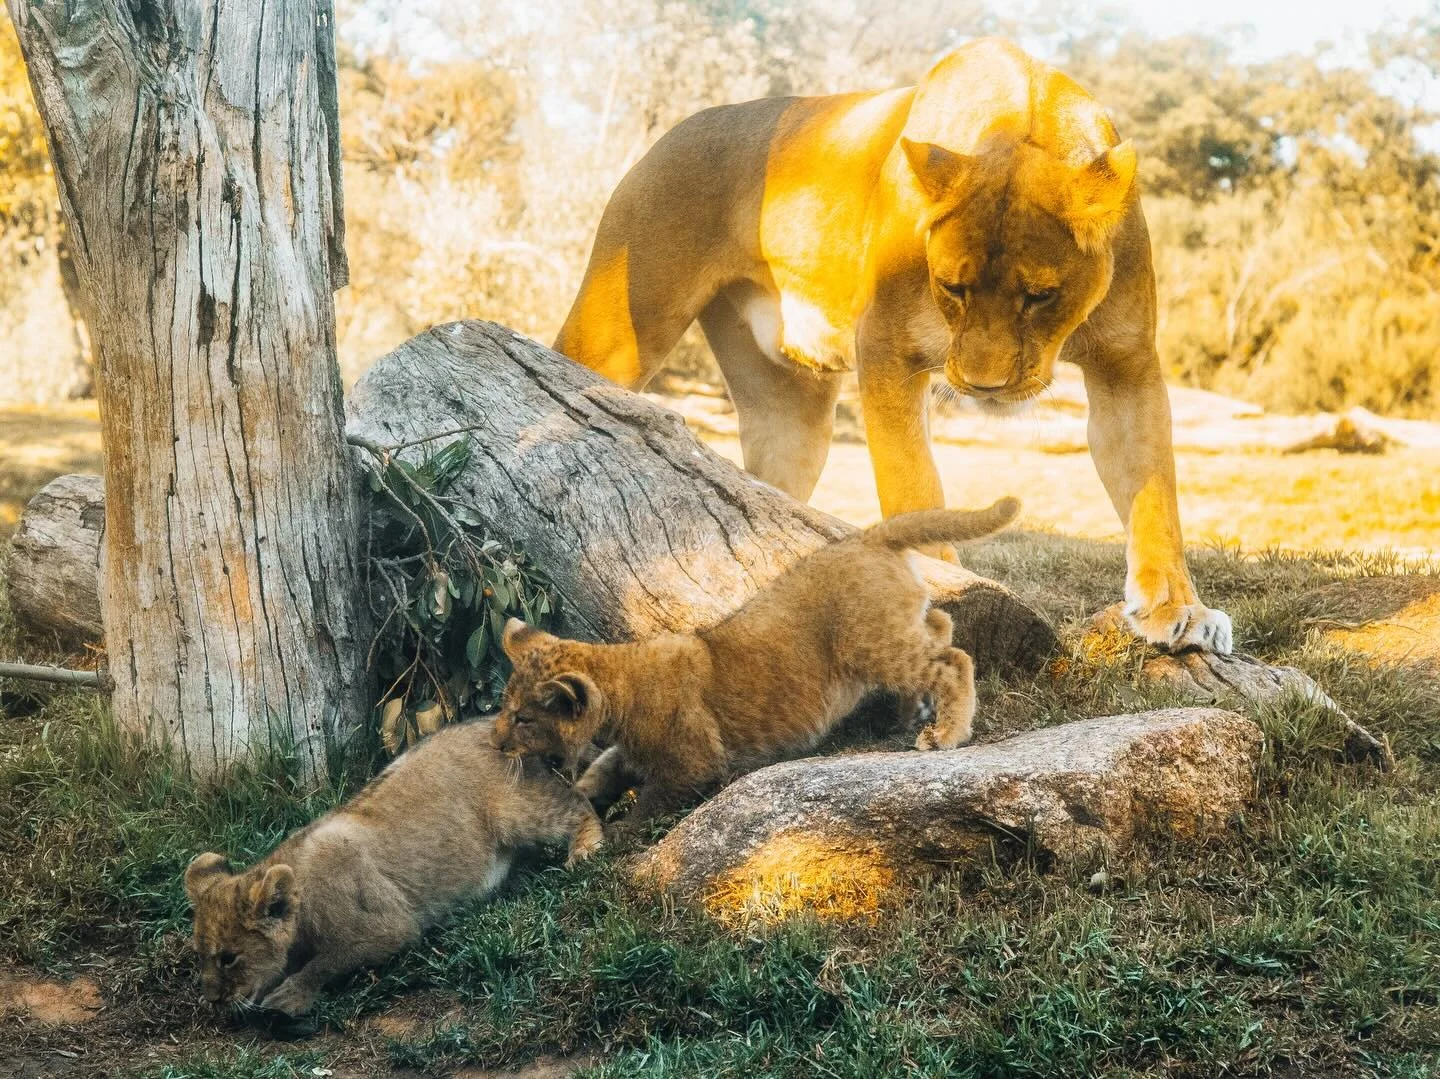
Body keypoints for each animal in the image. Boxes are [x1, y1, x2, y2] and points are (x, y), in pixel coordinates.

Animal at [554, 37, 1231, 653]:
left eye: (1039, 296)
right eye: (952, 287)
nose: (983, 386)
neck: (1026, 115)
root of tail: (675, 130)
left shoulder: (1127, 365)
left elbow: (1155, 495)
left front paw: (1177, 607)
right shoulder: (886, 349)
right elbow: (913, 483)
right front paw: (945, 582)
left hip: (792, 414)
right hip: (621, 330)